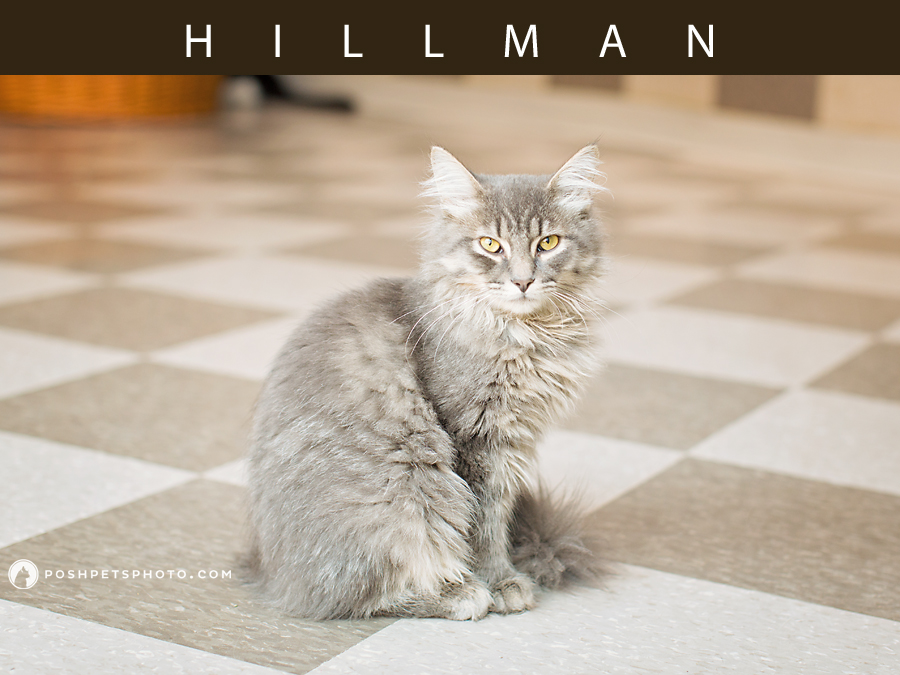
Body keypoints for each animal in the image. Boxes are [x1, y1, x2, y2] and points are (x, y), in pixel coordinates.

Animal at [248, 145, 604, 620]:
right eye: (490, 245)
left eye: (547, 243)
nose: (523, 280)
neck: (522, 334)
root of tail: (271, 575)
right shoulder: (477, 440)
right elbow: (484, 525)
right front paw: (500, 582)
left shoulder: (511, 443)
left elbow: (497, 516)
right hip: (405, 495)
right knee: (366, 594)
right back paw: (460, 594)